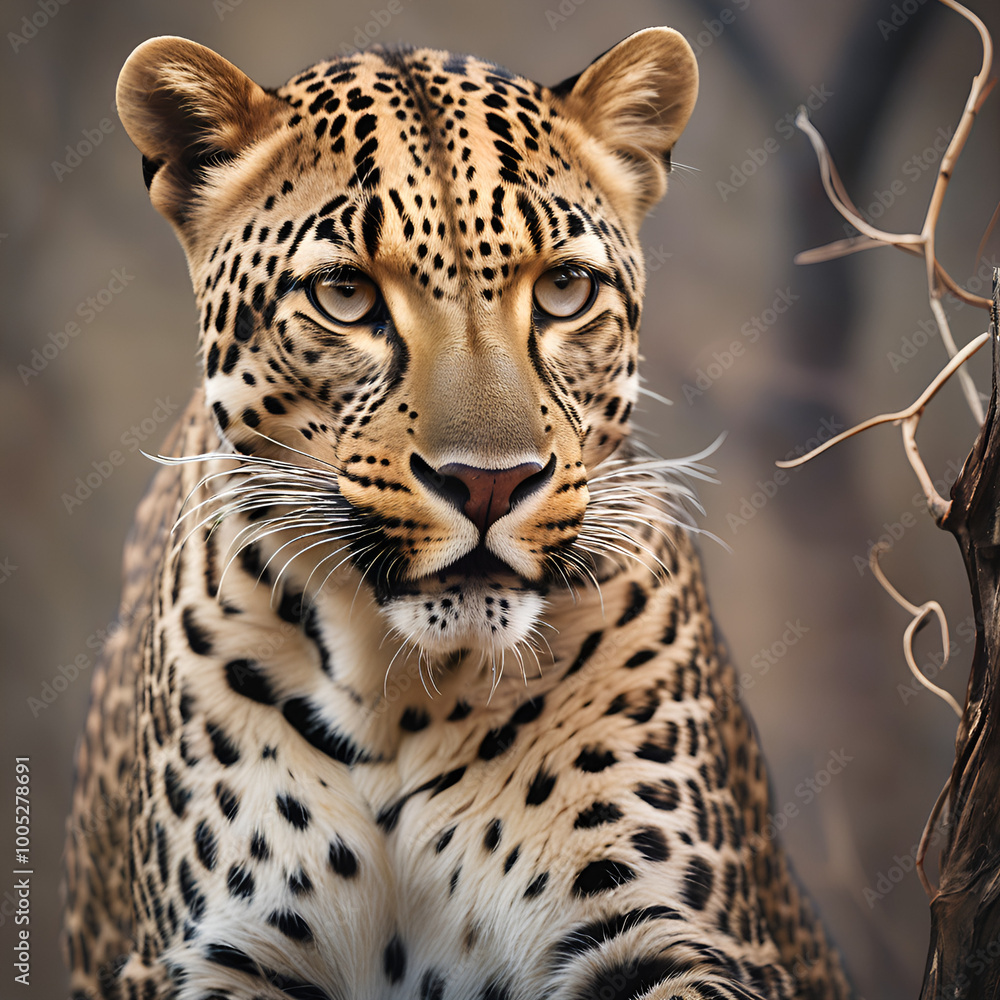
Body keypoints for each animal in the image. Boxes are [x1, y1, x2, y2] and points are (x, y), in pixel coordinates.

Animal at [63, 27, 857, 1000]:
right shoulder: (211, 954)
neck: (399, 695)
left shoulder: (674, 934)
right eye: (345, 295)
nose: (489, 485)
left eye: (564, 290)